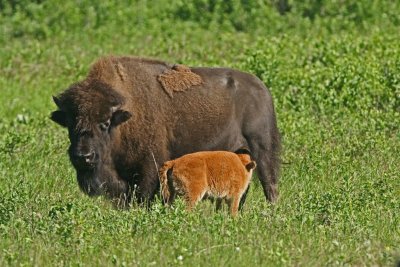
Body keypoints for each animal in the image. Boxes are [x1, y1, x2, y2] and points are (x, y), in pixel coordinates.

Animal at [50, 56, 282, 207]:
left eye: (105, 123)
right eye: (70, 123)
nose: (83, 156)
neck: (124, 117)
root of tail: (262, 88)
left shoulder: (148, 169)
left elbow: (144, 198)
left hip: (262, 151)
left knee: (269, 185)